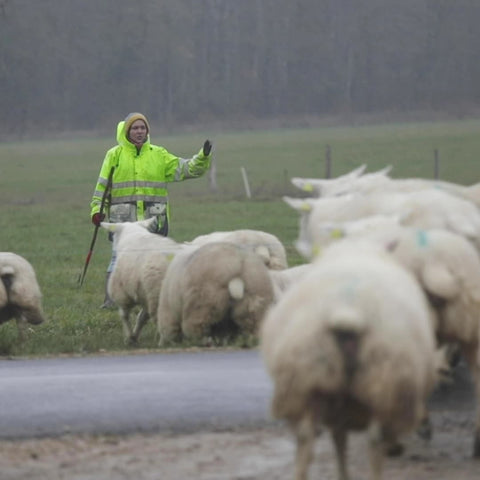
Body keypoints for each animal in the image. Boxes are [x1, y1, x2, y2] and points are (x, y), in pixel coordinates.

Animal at [260, 246, 436, 480]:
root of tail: (348, 312)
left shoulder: (338, 405)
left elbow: (339, 442)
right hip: (381, 379)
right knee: (374, 441)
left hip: (309, 381)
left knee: (306, 441)